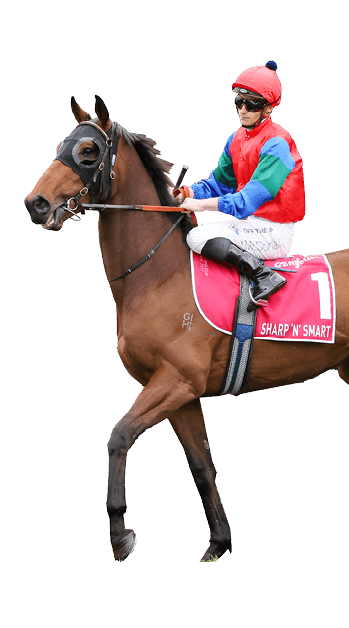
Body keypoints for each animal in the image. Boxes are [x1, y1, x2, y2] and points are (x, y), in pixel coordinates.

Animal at [24, 94, 348, 564]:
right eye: (60, 146)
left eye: (88, 151)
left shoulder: (175, 379)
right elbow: (202, 466)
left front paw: (120, 534)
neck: (157, 275)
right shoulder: (181, 393)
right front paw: (219, 541)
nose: (36, 203)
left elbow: (119, 435)